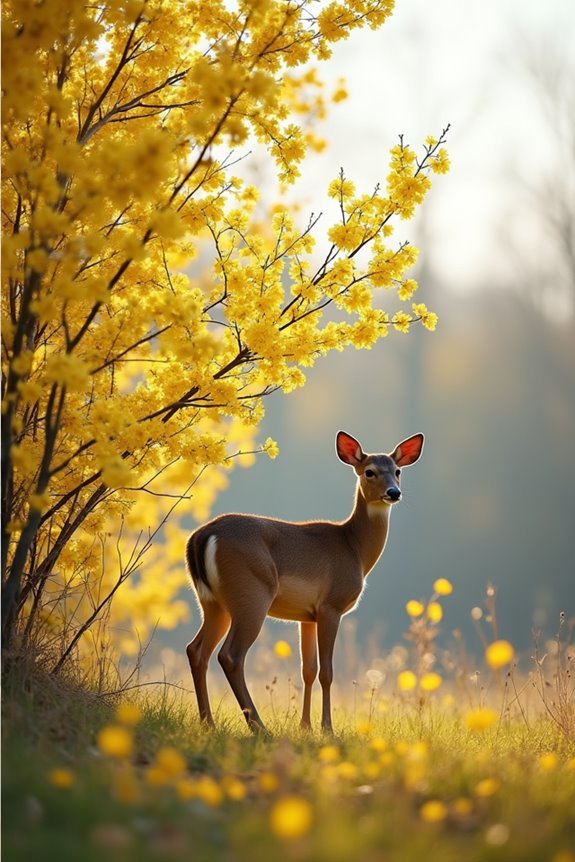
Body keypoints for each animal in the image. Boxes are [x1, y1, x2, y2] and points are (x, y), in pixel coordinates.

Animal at [185, 430, 424, 733]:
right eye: (369, 471)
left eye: (397, 471)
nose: (394, 492)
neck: (354, 548)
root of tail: (202, 536)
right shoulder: (330, 606)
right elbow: (327, 672)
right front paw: (327, 728)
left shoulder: (306, 616)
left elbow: (308, 670)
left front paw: (305, 726)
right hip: (251, 595)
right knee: (230, 655)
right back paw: (258, 726)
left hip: (212, 602)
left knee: (196, 651)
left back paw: (209, 724)